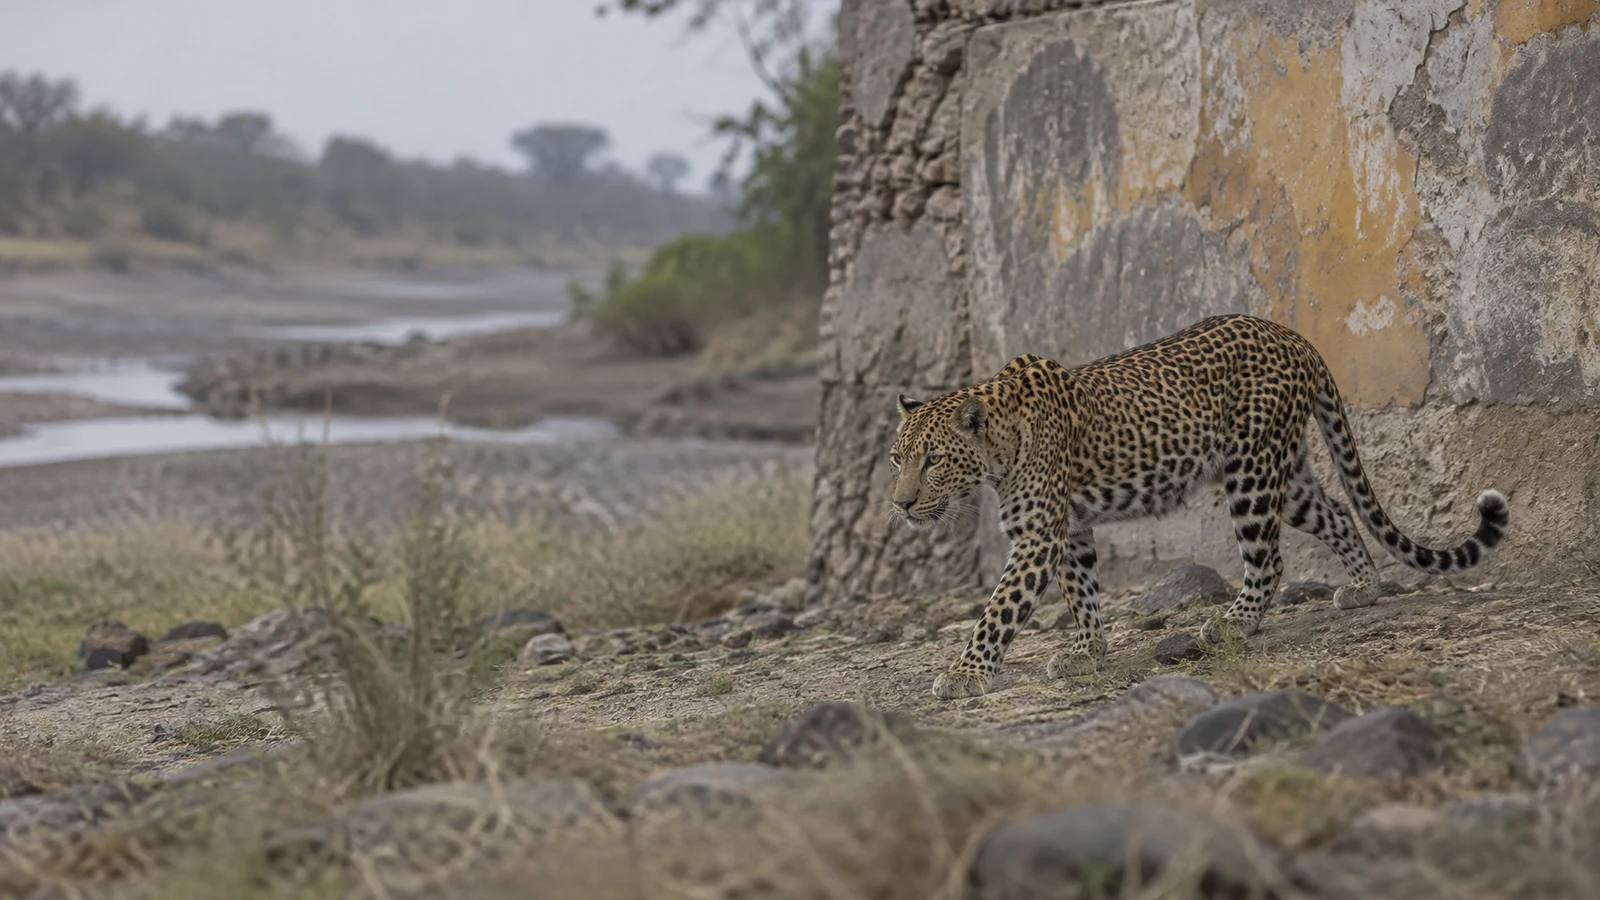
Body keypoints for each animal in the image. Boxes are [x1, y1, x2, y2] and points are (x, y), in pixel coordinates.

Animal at [887, 314, 1510, 700]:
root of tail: (1294, 336)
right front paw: (1087, 652)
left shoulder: (1039, 535)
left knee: (1269, 559)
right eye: (897, 459)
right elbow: (1082, 592)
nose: (901, 505)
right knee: (1335, 513)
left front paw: (965, 673)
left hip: (1251, 471)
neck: (998, 448)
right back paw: (1362, 588)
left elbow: (999, 610)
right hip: (1287, 473)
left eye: (934, 461)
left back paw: (1233, 623)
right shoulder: (1072, 529)